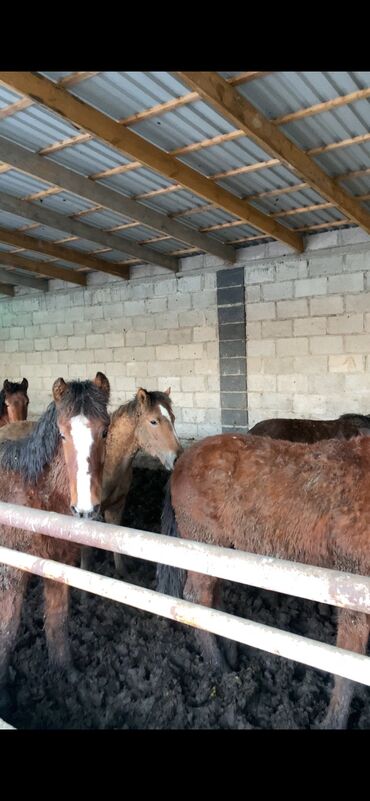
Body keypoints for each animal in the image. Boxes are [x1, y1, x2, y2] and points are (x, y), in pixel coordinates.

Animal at [0, 372, 110, 708]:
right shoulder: (11, 571)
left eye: (105, 430)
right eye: (62, 435)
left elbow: (58, 620)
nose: (86, 509)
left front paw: (66, 672)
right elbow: (8, 629)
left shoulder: (59, 563)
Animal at [158, 434, 370, 728]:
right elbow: (348, 659)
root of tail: (183, 460)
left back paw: (230, 650)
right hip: (202, 541)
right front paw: (334, 721)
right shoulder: (352, 585)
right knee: (196, 598)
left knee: (212, 595)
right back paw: (219, 665)